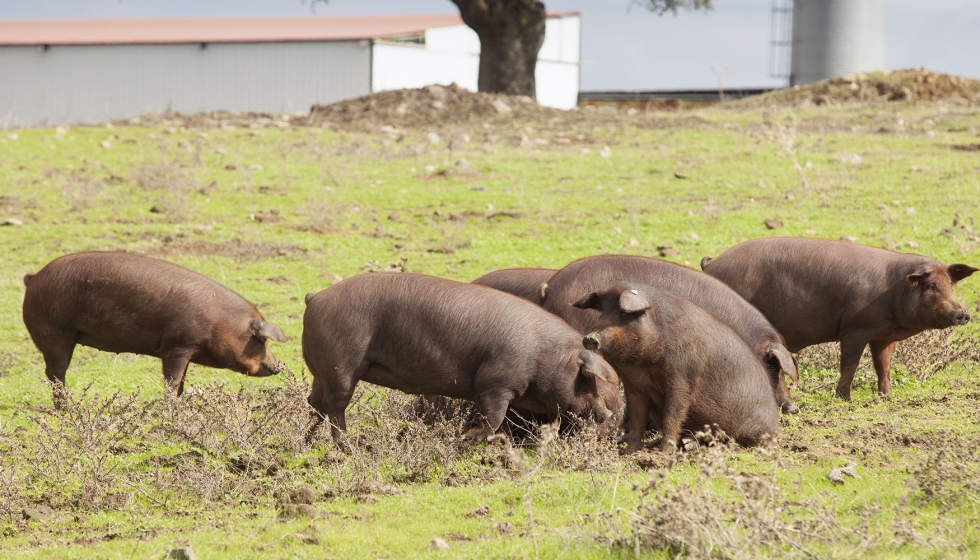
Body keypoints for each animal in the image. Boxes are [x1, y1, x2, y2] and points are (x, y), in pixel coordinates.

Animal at [22, 253, 288, 406]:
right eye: (261, 340)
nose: (278, 365)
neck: (220, 323)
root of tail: (34, 278)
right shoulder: (178, 345)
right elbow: (172, 382)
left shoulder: (186, 350)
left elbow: (181, 384)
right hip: (54, 331)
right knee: (56, 373)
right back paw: (65, 410)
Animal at [302, 274, 620, 444]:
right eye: (588, 378)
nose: (608, 415)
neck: (547, 357)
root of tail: (315, 298)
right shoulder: (495, 382)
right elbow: (493, 418)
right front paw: (467, 439)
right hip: (342, 363)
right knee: (334, 406)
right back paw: (346, 445)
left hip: (321, 370)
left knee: (314, 403)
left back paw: (307, 441)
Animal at [580, 282, 776, 452]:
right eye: (603, 311)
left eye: (623, 312)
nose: (590, 337)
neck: (642, 367)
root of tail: (775, 428)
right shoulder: (634, 386)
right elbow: (637, 420)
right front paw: (629, 453)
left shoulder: (682, 376)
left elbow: (672, 415)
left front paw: (663, 453)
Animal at [700, 236, 976, 398]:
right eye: (931, 285)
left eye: (950, 284)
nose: (963, 313)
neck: (896, 290)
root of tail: (711, 265)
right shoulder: (855, 328)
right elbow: (850, 364)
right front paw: (844, 397)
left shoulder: (883, 337)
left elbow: (884, 366)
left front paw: (886, 396)